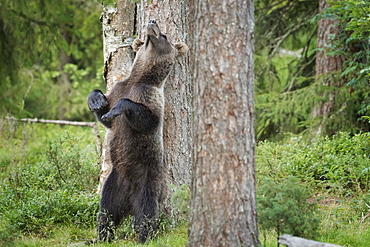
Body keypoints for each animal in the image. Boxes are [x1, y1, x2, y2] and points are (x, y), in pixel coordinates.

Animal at [86, 19, 188, 243]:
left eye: (164, 36)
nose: (152, 21)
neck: (140, 78)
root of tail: (128, 200)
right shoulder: (118, 88)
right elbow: (105, 114)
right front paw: (97, 101)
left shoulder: (150, 97)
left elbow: (146, 119)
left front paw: (115, 111)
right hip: (114, 183)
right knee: (106, 211)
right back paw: (99, 237)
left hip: (148, 178)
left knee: (147, 211)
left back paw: (144, 237)